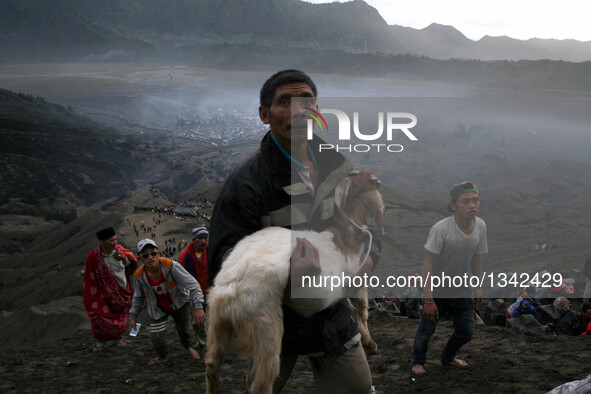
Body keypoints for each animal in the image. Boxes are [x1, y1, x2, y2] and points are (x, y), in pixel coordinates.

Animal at [206, 170, 386, 394]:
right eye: (372, 181)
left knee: (212, 363)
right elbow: (361, 309)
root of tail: (228, 290)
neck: (345, 238)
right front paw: (371, 344)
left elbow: (351, 309)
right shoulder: (355, 279)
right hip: (266, 325)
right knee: (262, 383)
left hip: (216, 323)